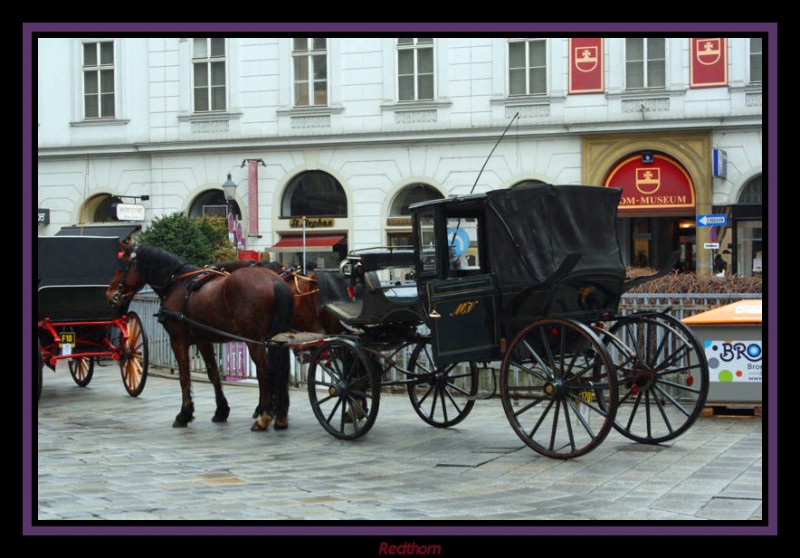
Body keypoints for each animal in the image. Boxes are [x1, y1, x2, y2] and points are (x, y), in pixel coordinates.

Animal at [106, 245, 294, 434]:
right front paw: (221, 410)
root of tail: (274, 281)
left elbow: (184, 376)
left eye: (122, 266)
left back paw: (264, 417)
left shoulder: (178, 340)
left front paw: (184, 414)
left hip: (253, 340)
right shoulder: (204, 340)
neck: (176, 284)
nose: (110, 293)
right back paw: (279, 417)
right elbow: (213, 373)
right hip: (277, 339)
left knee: (265, 371)